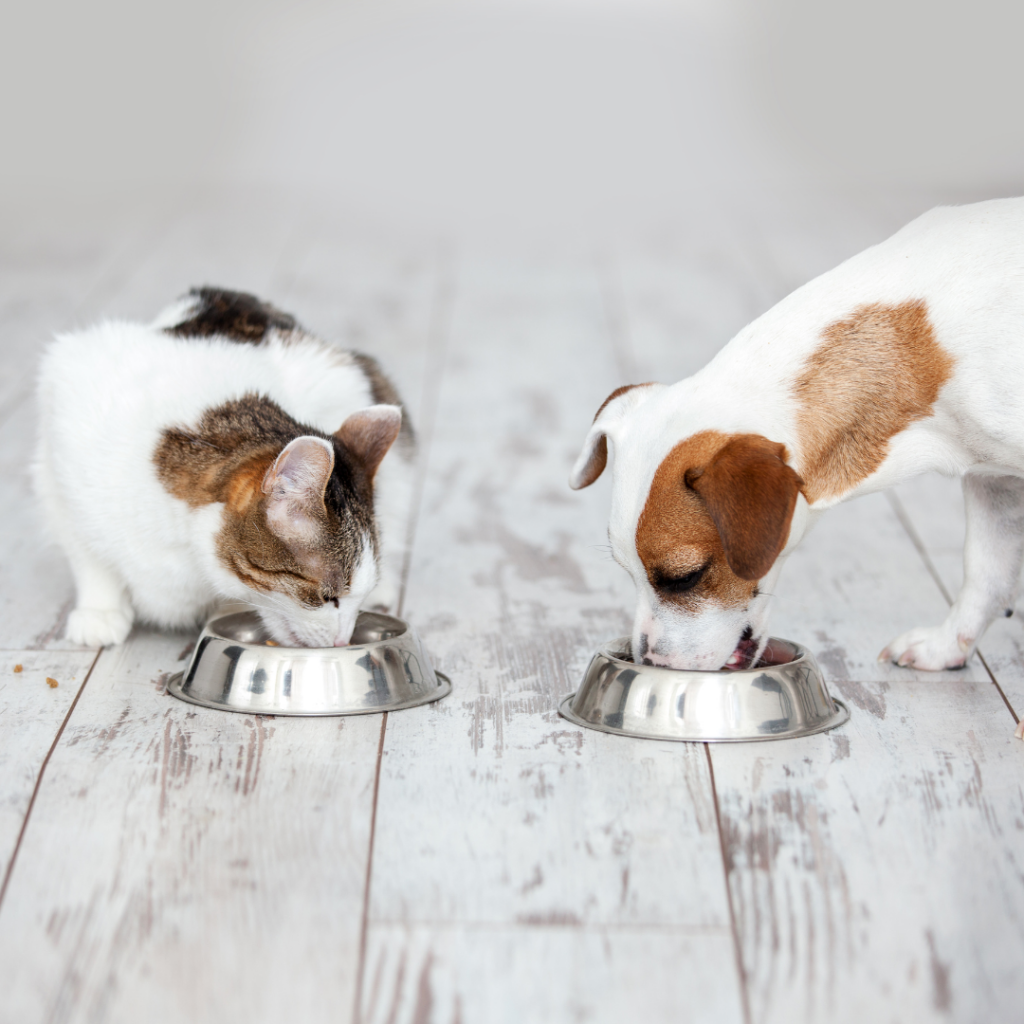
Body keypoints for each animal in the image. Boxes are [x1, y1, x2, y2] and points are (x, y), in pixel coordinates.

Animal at [33, 284, 415, 643]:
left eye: (353, 598)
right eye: (328, 597)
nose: (342, 640)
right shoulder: (60, 445)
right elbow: (87, 553)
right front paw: (100, 609)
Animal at [573, 195, 1024, 737]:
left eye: (684, 578)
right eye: (627, 570)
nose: (650, 662)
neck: (925, 341)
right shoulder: (992, 481)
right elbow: (986, 572)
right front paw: (945, 644)